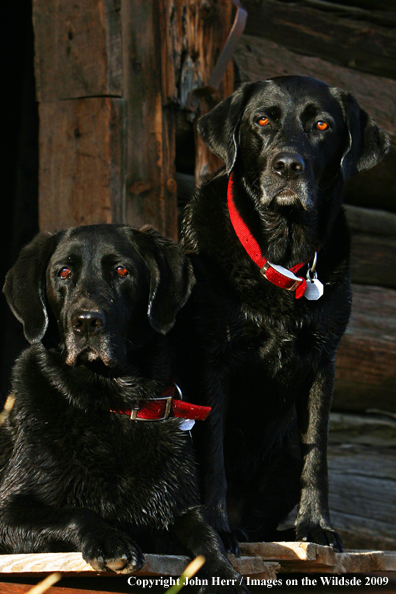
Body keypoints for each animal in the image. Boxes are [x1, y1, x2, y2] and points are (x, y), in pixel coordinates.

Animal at [0, 224, 248, 588]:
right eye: (63, 272)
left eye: (121, 271)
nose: (86, 322)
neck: (114, 402)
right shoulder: (8, 509)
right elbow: (76, 511)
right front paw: (111, 542)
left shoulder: (173, 508)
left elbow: (205, 535)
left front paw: (223, 572)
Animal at [177, 75, 390, 552]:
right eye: (262, 120)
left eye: (322, 125)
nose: (288, 165)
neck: (282, 255)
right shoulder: (211, 359)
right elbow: (212, 452)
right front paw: (216, 528)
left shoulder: (323, 363)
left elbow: (318, 456)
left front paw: (315, 527)